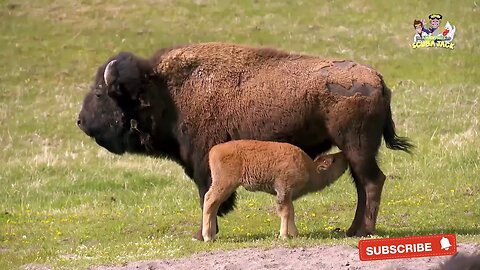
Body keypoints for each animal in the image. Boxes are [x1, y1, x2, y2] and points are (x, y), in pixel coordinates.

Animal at [202, 140, 348, 242]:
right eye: (333, 160)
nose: (344, 154)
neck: (310, 168)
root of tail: (214, 150)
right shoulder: (284, 191)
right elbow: (286, 212)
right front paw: (284, 236)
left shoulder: (288, 195)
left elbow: (291, 212)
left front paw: (295, 234)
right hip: (224, 185)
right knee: (209, 201)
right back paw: (207, 237)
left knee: (214, 206)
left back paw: (212, 235)